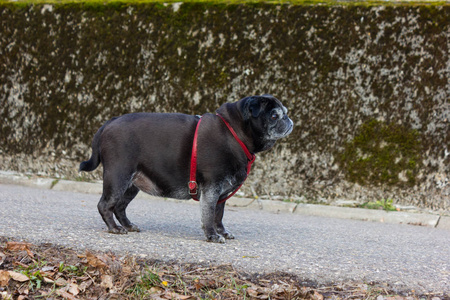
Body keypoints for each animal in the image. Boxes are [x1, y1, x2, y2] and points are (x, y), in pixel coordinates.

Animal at [79, 95, 294, 243]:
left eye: (285, 111)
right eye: (274, 115)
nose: (289, 120)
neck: (234, 133)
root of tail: (110, 122)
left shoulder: (222, 193)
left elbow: (218, 215)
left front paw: (222, 232)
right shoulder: (211, 188)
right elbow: (208, 214)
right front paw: (212, 236)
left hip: (132, 184)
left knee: (120, 207)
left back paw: (128, 225)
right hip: (118, 177)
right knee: (105, 205)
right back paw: (114, 228)